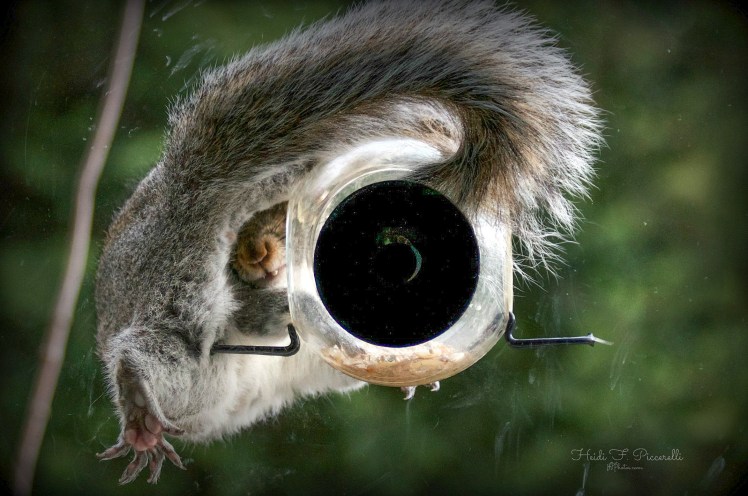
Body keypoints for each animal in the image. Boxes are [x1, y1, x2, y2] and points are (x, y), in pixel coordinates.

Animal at [94, 0, 602, 484]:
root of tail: (185, 191)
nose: (263, 257)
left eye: (281, 222)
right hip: (178, 312)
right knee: (147, 352)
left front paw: (413, 378)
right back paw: (139, 413)